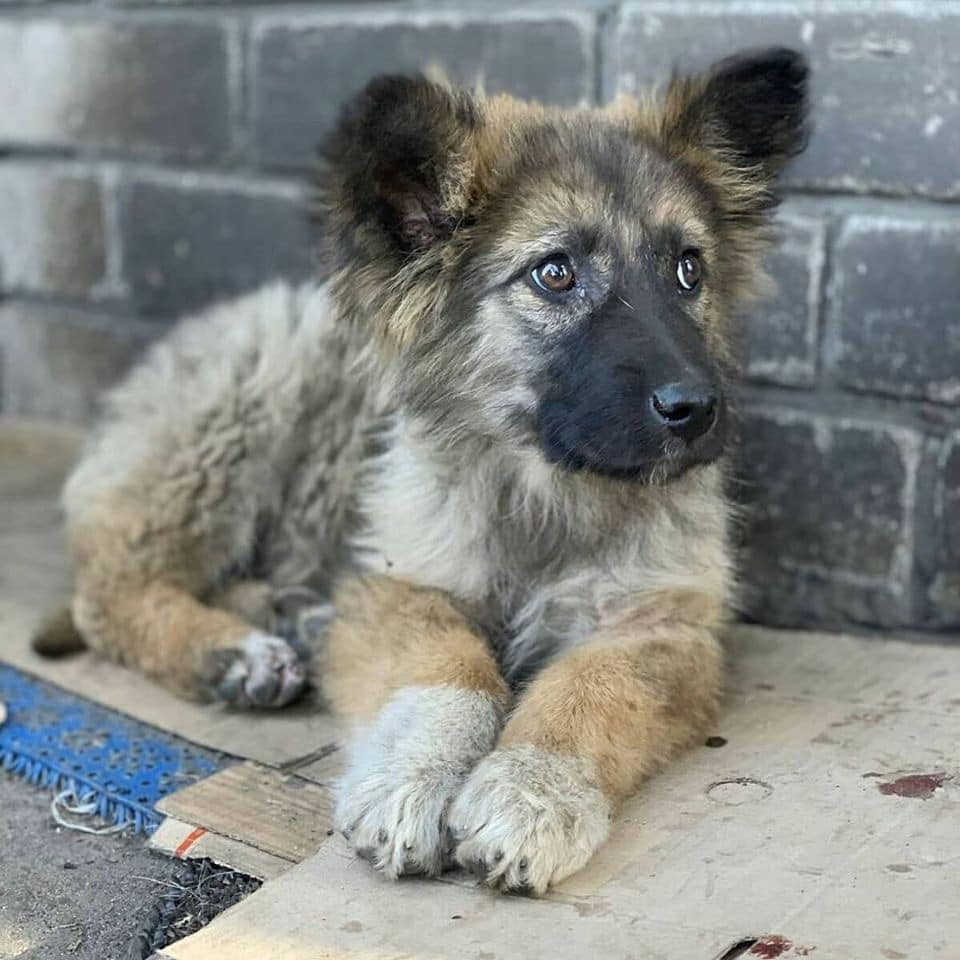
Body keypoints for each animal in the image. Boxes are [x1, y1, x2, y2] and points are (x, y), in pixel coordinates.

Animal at [33, 50, 808, 892]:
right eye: (555, 274)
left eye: (689, 269)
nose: (697, 410)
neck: (542, 491)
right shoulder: (405, 583)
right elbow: (448, 669)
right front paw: (414, 778)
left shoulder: (662, 626)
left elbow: (591, 688)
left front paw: (533, 791)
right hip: (243, 403)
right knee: (110, 594)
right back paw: (232, 654)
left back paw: (289, 621)